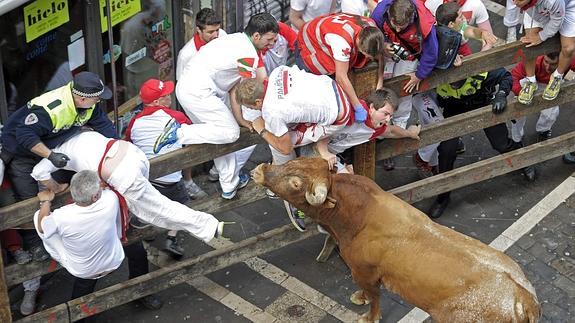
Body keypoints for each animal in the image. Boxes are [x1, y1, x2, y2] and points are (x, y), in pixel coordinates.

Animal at [251, 158, 540, 322]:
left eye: (296, 183)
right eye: (293, 162)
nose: (260, 170)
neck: (356, 216)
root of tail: (523, 298)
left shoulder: (365, 273)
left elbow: (375, 298)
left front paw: (368, 317)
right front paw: (359, 298)